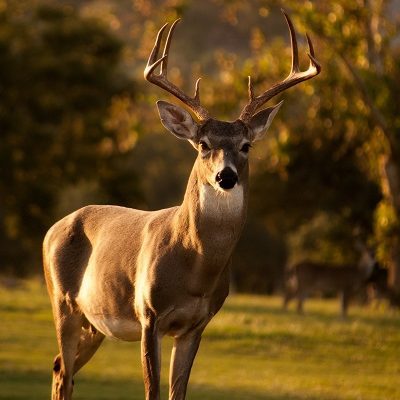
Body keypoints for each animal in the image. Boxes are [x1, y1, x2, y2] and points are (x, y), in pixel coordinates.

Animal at [42, 10, 320, 400]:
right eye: (203, 144)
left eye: (246, 145)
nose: (225, 176)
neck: (195, 265)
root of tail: (53, 228)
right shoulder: (149, 315)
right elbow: (153, 391)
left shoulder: (196, 324)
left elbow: (178, 392)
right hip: (63, 302)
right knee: (64, 371)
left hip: (94, 323)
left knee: (58, 368)